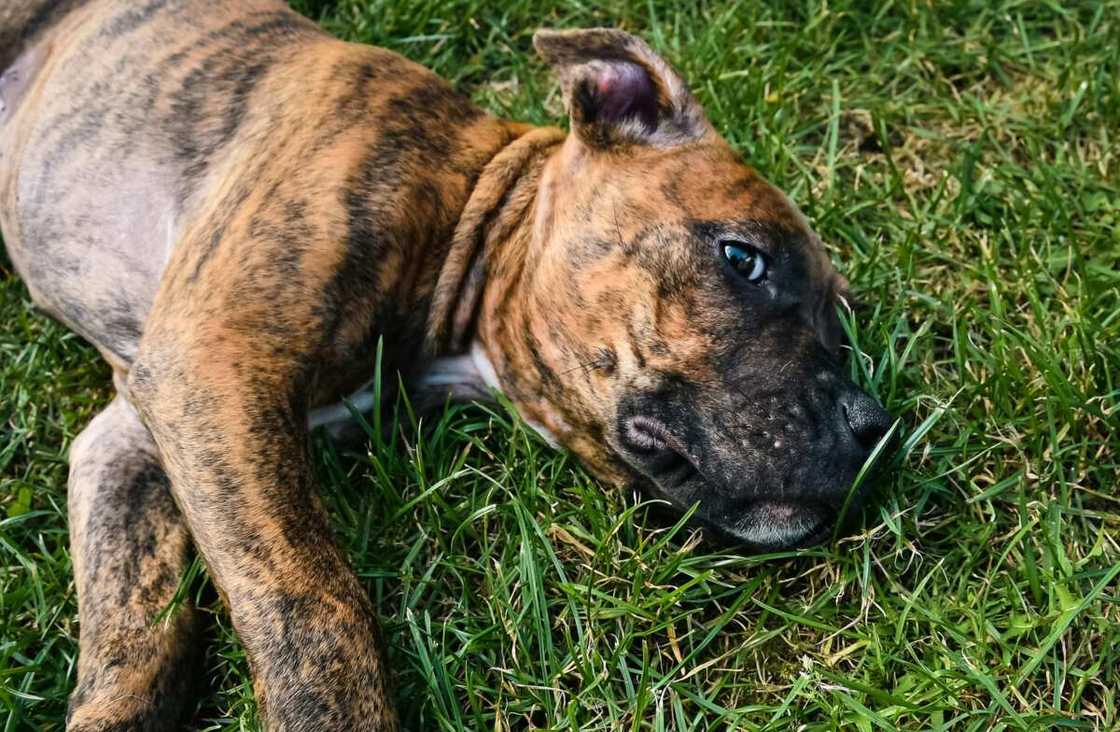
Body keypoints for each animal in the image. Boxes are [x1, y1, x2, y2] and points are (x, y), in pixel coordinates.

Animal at [0, 2, 891, 729]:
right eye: (742, 258)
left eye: (842, 330)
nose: (874, 432)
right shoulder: (212, 363)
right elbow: (311, 603)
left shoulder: (135, 436)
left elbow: (138, 641)